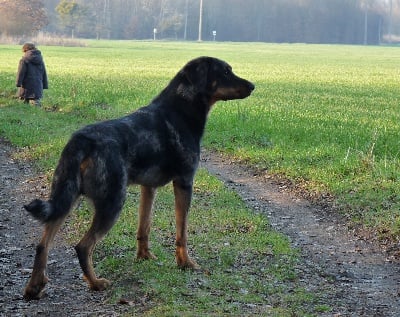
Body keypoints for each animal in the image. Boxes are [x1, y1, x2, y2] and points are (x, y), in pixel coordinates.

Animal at [23, 56, 255, 298]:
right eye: (226, 72)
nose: (253, 86)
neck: (180, 109)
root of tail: (81, 141)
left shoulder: (148, 187)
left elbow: (144, 226)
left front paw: (144, 257)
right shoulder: (184, 182)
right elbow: (182, 232)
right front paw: (185, 263)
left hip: (65, 197)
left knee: (43, 244)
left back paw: (34, 286)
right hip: (112, 202)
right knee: (83, 246)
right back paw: (95, 283)